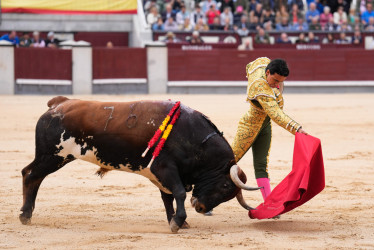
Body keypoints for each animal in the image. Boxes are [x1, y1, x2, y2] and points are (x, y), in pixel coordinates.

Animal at [19, 96, 260, 232]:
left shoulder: (162, 176)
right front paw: (178, 222)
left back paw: (27, 214)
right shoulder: (165, 169)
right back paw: (25, 215)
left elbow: (168, 198)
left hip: (54, 157)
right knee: (31, 175)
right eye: (226, 186)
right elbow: (179, 193)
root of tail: (57, 105)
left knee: (30, 174)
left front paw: (177, 221)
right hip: (52, 155)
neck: (194, 138)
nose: (200, 208)